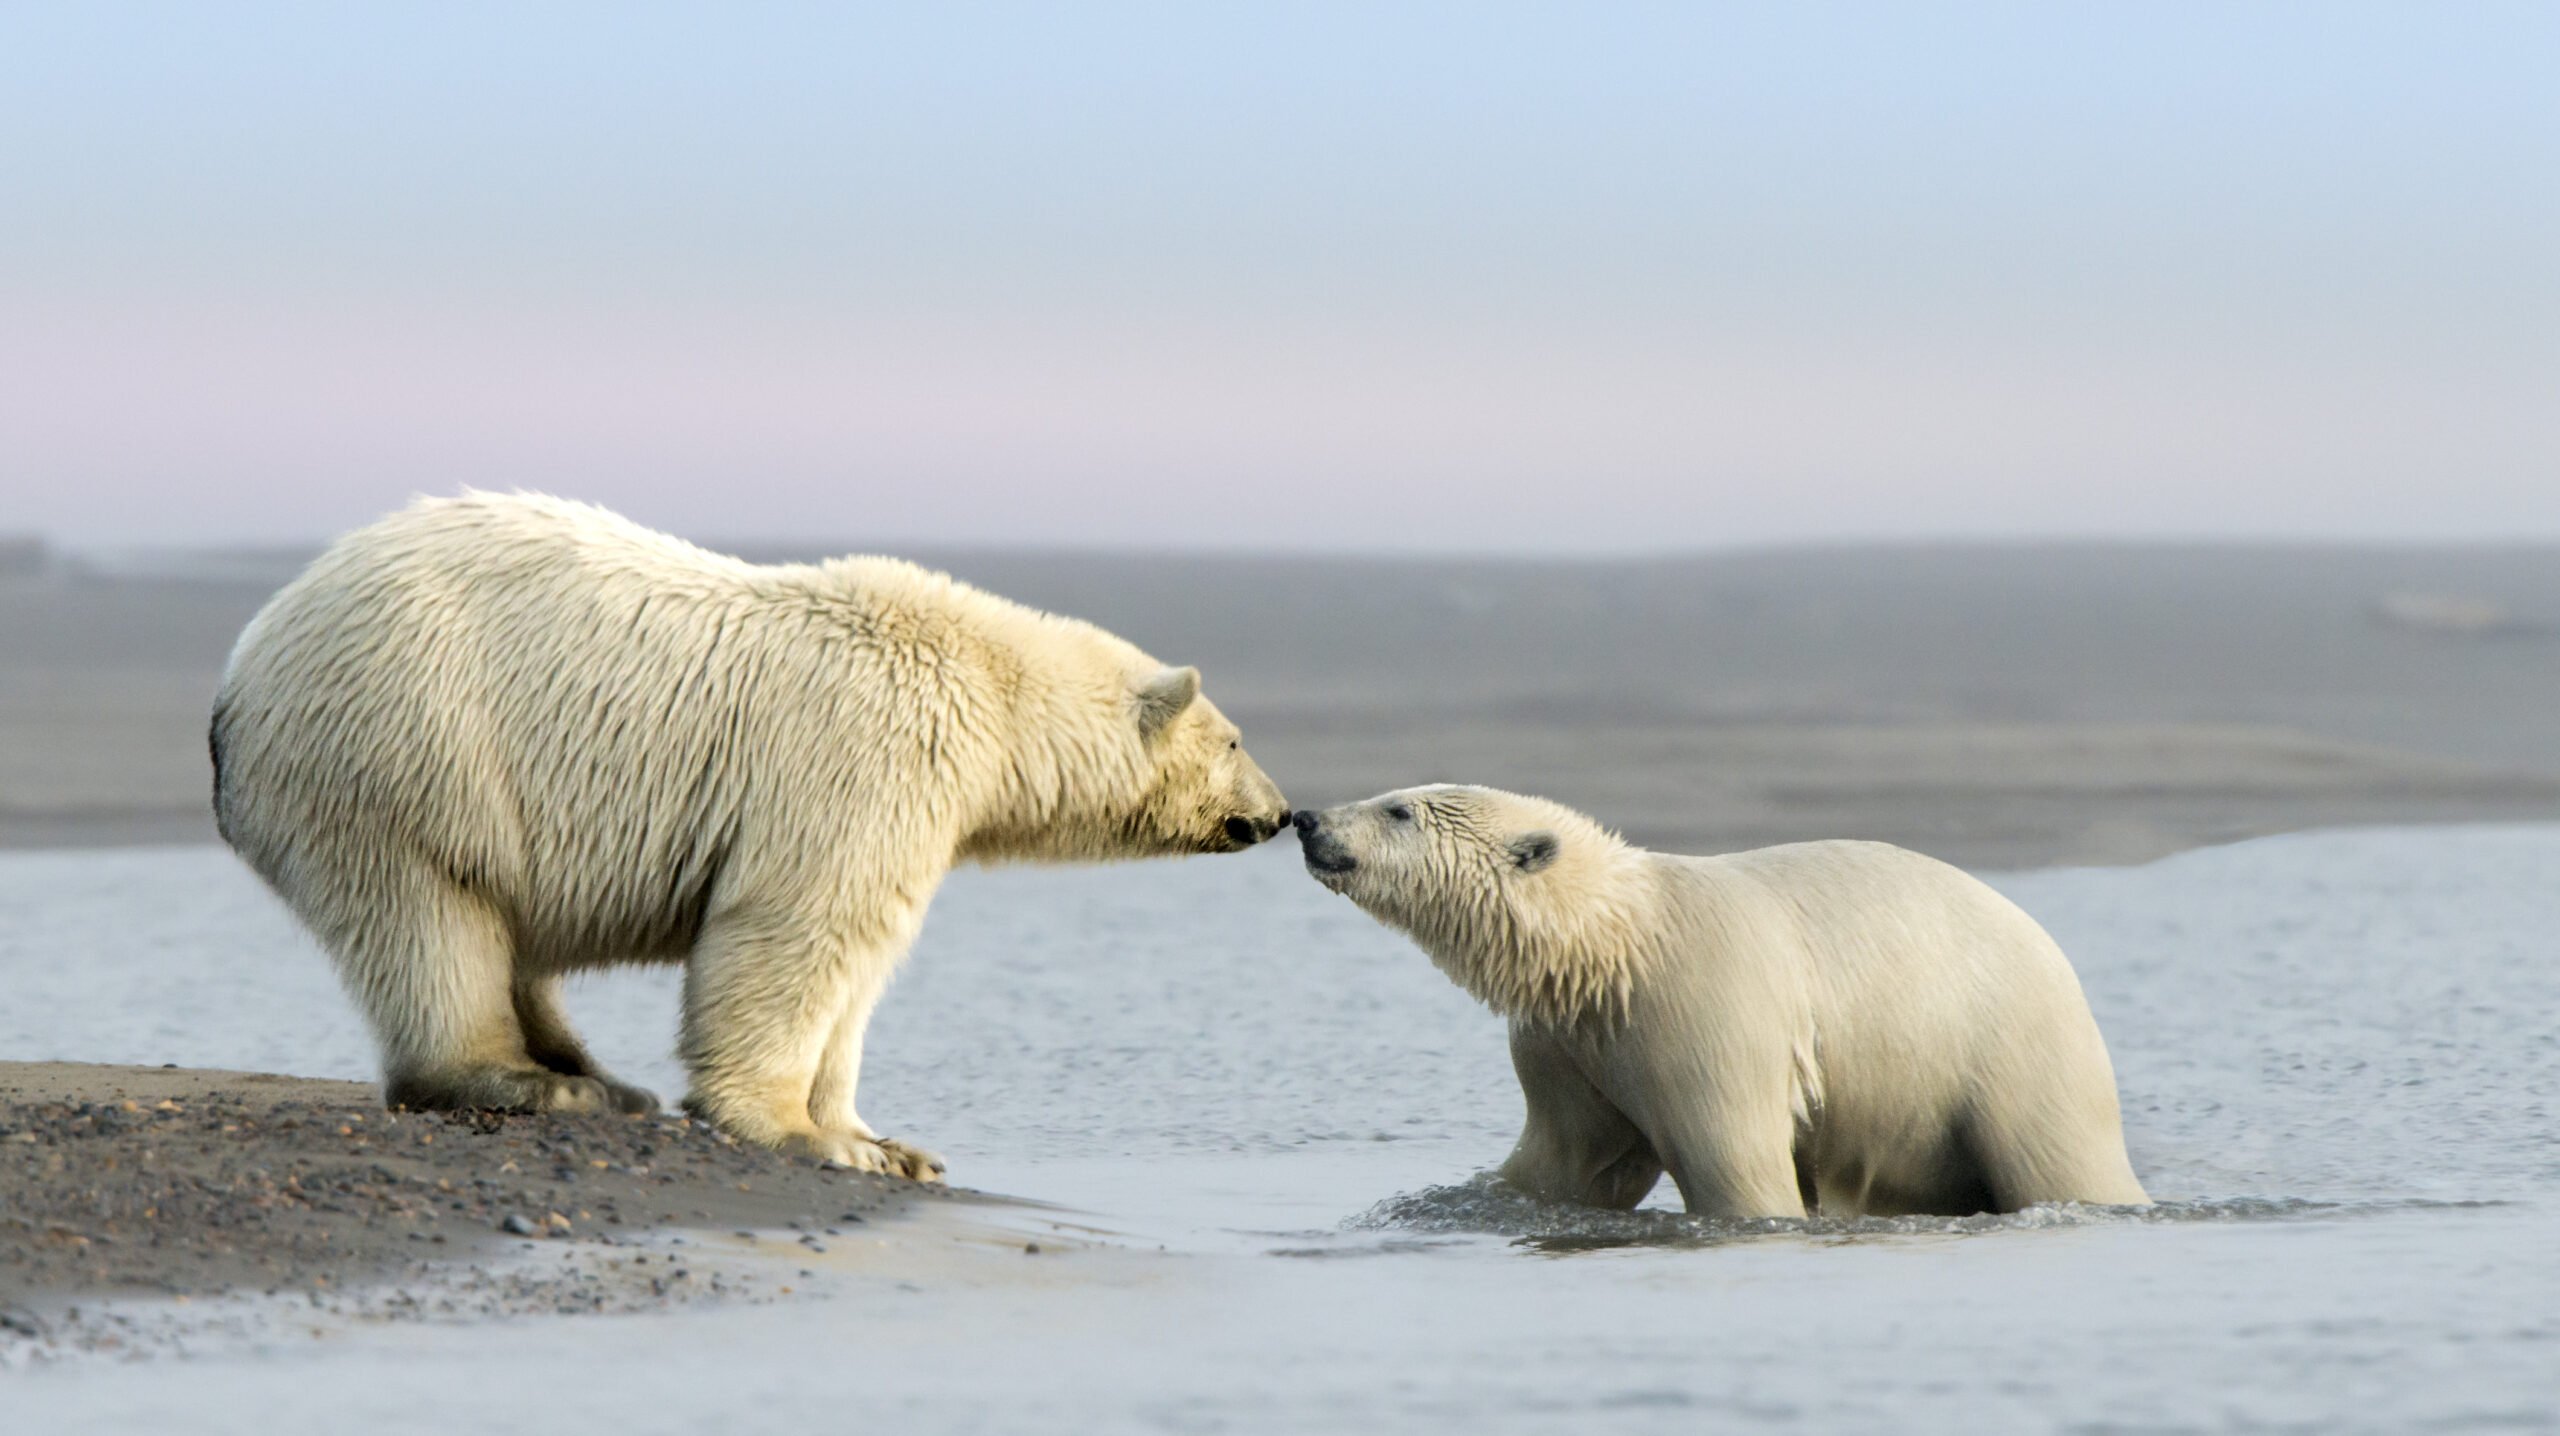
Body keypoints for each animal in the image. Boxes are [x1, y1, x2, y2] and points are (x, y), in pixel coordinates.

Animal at [211, 492, 1291, 1180]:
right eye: (1237, 739)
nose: (1280, 811)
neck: (987, 687)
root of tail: (238, 673)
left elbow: (864, 959)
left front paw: (888, 1140)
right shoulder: (866, 753)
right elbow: (799, 927)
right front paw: (804, 1135)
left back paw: (588, 1068)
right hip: (405, 744)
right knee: (430, 913)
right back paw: (536, 1083)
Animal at [1293, 785, 2149, 1218]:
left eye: (1398, 808)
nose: (1306, 819)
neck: (1618, 945)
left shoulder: (1705, 1009)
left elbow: (1736, 1168)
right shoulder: (1574, 1041)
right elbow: (1564, 1162)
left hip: (2007, 1045)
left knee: (2057, 1155)